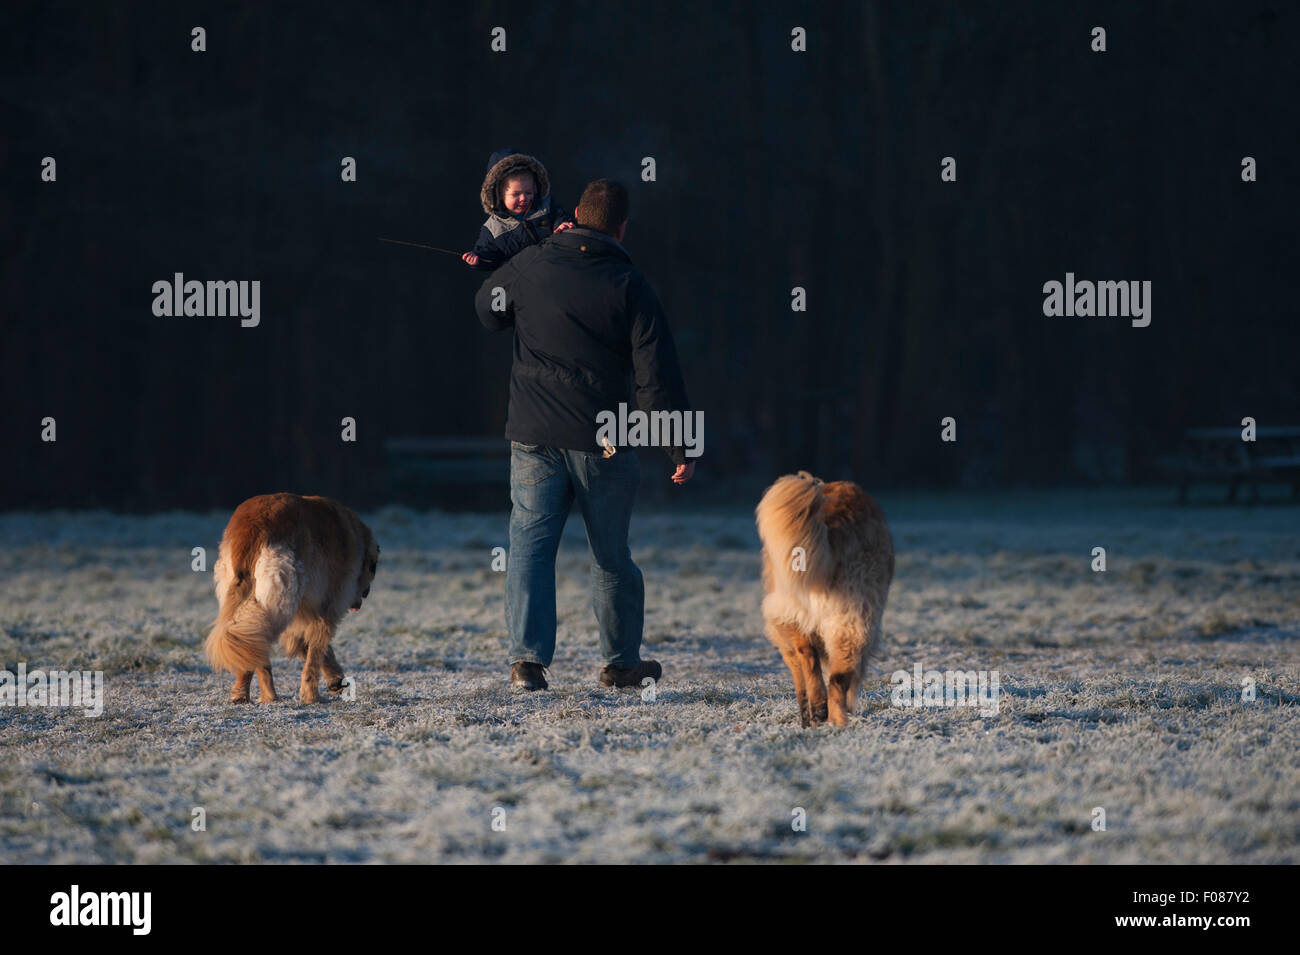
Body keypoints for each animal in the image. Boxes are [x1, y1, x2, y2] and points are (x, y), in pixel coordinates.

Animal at [202, 496, 377, 706]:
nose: (364, 595)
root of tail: (251, 528)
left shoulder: (304, 613)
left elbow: (313, 648)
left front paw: (335, 680)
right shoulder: (325, 609)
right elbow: (316, 653)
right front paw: (312, 695)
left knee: (250, 642)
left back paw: (249, 695)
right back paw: (269, 695)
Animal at [754, 475, 894, 727]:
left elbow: (800, 680)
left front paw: (807, 716)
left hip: (808, 617)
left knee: (811, 661)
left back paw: (823, 712)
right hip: (851, 622)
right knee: (837, 678)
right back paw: (836, 722)